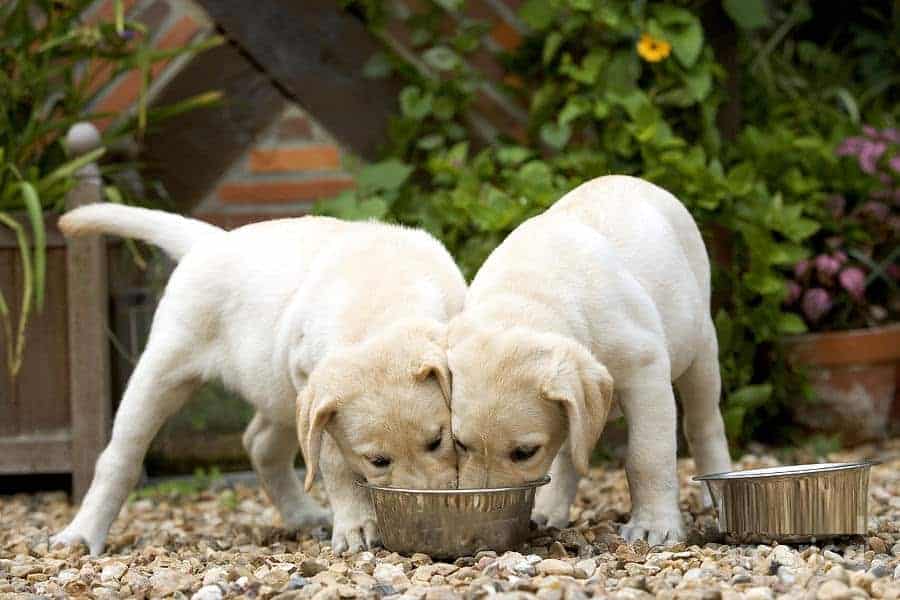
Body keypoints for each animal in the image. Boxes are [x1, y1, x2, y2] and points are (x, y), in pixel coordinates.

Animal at [52, 205, 468, 552]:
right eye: (378, 460)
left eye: (437, 440)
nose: (427, 513)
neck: (379, 302)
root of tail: (210, 240)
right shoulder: (314, 393)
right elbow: (335, 463)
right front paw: (355, 526)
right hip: (164, 369)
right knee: (119, 458)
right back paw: (81, 534)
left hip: (280, 392)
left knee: (260, 444)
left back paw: (303, 514)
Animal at [448, 176, 732, 548]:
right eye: (459, 444)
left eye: (524, 452)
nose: (477, 534)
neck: (526, 298)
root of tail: (630, 179)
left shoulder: (645, 372)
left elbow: (647, 456)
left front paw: (654, 525)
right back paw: (549, 510)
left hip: (700, 351)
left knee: (703, 423)